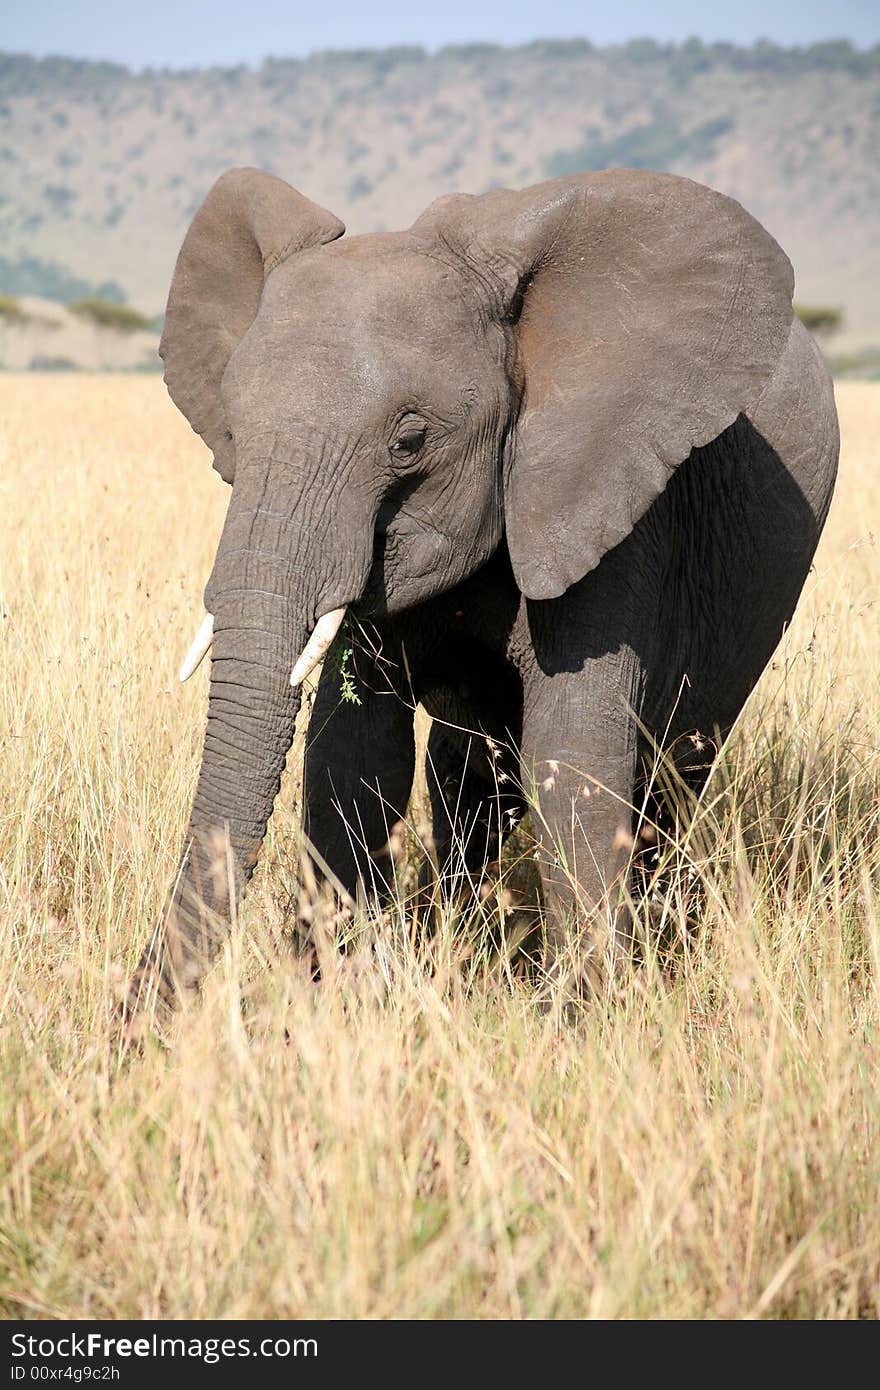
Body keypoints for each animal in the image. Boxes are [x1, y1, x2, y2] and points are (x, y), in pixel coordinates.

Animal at [123, 168, 839, 1028]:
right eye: (232, 430)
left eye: (409, 442)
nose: (129, 1025)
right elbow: (352, 753)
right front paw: (342, 1002)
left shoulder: (611, 497)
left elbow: (573, 759)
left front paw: (586, 1022)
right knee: (469, 778)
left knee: (670, 774)